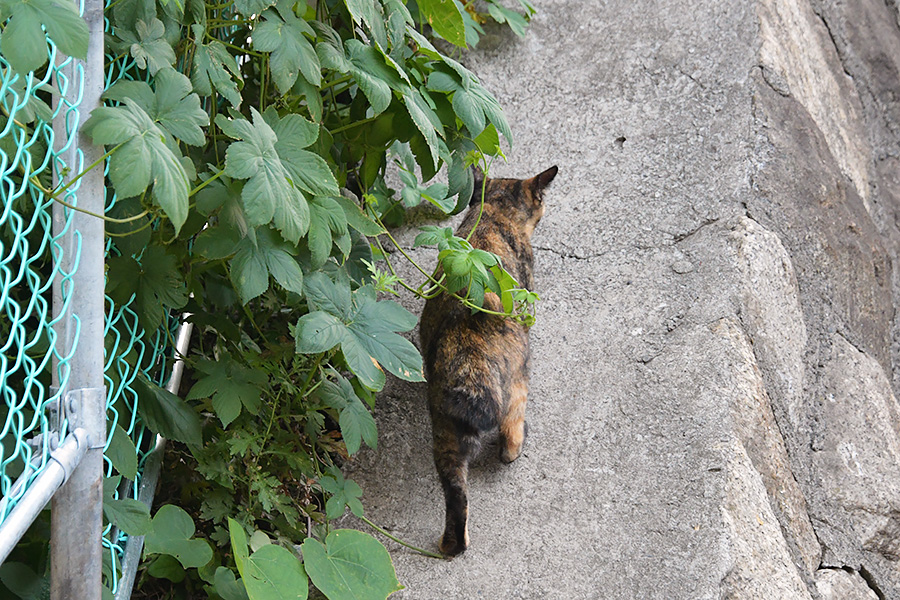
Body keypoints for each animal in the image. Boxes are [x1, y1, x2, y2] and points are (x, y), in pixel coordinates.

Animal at [420, 165, 556, 556]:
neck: (493, 212)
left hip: (444, 433)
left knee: (456, 496)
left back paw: (452, 545)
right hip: (520, 373)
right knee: (511, 429)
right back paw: (516, 447)